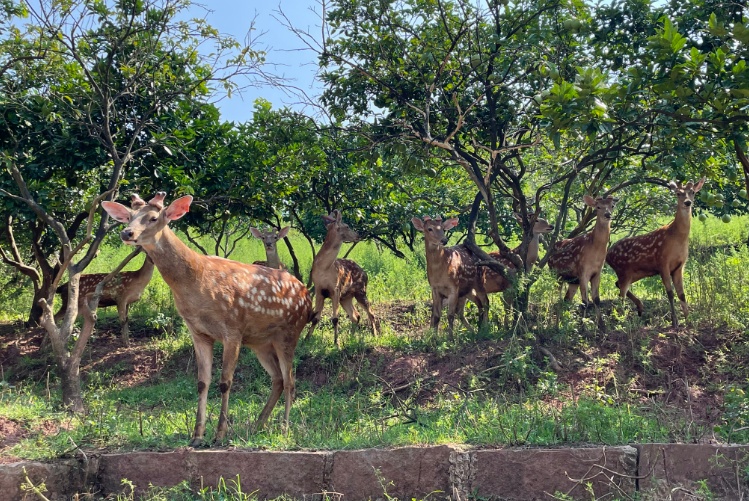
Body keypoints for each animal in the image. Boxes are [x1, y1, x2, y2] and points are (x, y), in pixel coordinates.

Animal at [101, 192, 312, 446]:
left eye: (153, 218)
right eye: (129, 216)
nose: (127, 233)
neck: (196, 284)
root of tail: (307, 295)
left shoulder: (233, 328)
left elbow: (225, 382)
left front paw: (220, 434)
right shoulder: (198, 332)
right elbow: (202, 382)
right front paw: (197, 435)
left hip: (289, 332)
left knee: (290, 380)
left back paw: (284, 428)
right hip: (260, 342)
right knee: (278, 379)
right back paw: (257, 425)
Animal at [302, 209, 376, 346]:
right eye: (346, 226)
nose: (358, 235)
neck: (324, 268)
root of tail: (365, 273)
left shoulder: (335, 289)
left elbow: (335, 318)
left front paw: (337, 343)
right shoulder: (319, 289)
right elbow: (315, 318)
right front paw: (306, 339)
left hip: (361, 291)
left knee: (370, 313)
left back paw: (375, 335)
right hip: (346, 297)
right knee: (356, 315)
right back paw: (352, 337)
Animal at [604, 177, 704, 328]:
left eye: (692, 192)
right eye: (678, 193)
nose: (687, 202)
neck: (677, 238)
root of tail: (607, 255)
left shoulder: (679, 266)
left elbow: (682, 294)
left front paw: (689, 320)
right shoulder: (663, 262)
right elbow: (670, 293)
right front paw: (675, 322)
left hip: (637, 273)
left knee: (618, 285)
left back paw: (639, 308)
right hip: (623, 270)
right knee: (621, 293)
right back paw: (623, 320)